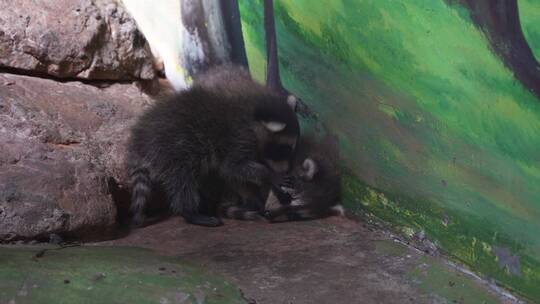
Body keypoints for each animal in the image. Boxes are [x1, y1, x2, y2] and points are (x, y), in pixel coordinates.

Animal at [127, 64, 300, 226]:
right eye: (284, 149)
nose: (287, 170)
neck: (254, 110)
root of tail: (140, 137)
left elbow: (242, 174)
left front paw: (276, 188)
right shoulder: (239, 138)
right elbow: (233, 167)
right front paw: (271, 175)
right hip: (172, 149)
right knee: (182, 181)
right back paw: (188, 211)